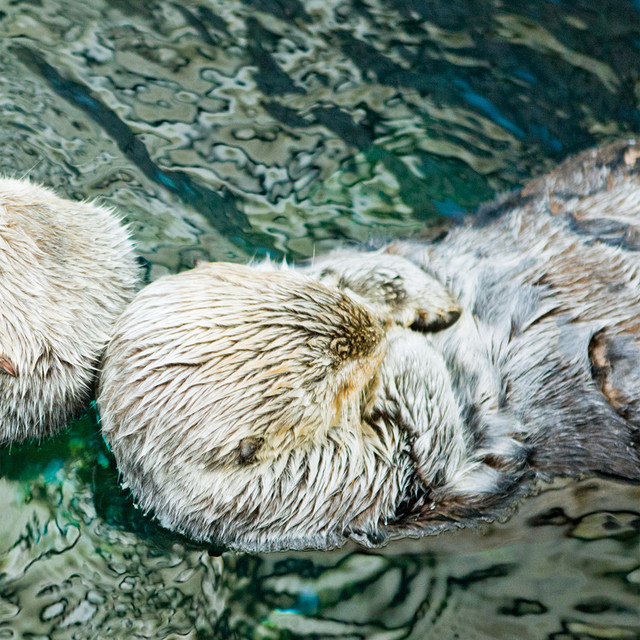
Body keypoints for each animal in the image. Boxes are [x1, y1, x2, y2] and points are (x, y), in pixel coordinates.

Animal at [98, 139, 640, 551]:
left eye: (335, 298)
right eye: (335, 380)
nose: (380, 334)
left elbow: (358, 263)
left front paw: (418, 301)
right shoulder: (337, 489)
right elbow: (434, 444)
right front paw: (406, 355)